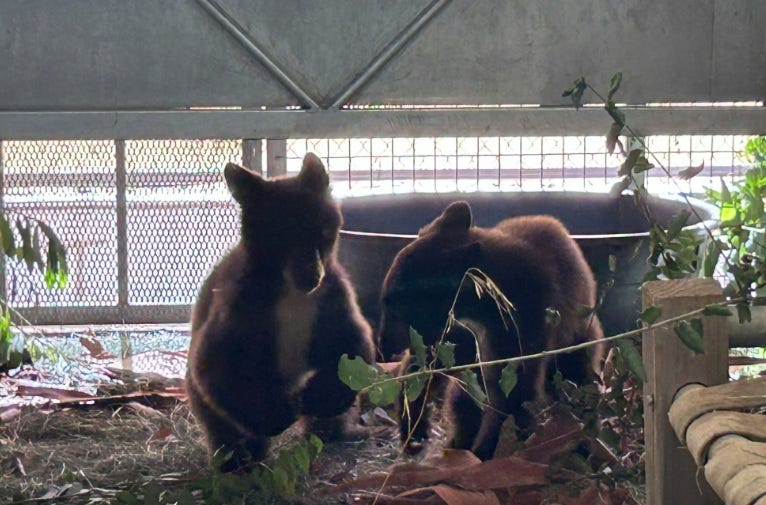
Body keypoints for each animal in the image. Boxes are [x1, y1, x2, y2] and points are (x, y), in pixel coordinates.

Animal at [186, 153, 375, 472]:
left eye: (322, 230)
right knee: (223, 426)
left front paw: (317, 397)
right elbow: (220, 367)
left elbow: (352, 349)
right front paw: (278, 415)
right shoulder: (239, 310)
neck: (293, 297)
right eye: (279, 234)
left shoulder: (332, 302)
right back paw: (236, 460)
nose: (311, 276)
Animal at [377, 200, 604, 460]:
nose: (383, 344)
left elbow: (512, 391)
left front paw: (488, 449)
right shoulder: (454, 334)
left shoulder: (522, 324)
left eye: (391, 305)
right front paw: (415, 427)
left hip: (573, 343)